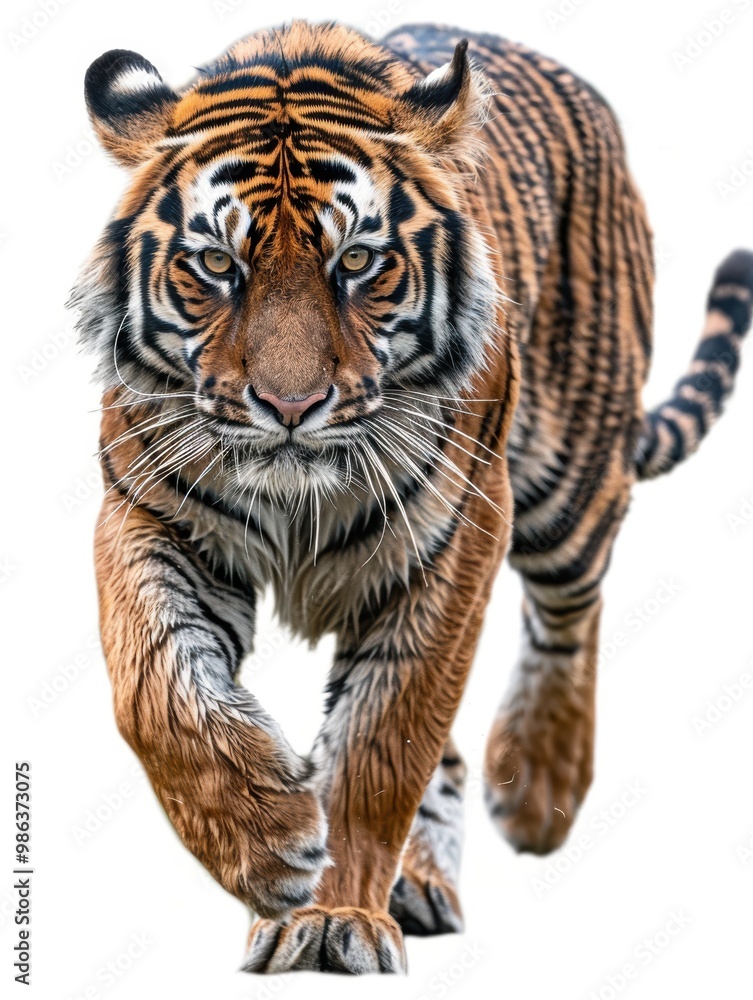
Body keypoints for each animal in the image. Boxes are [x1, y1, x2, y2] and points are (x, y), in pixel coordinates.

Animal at [72, 20, 753, 974]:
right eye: (216, 264)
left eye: (357, 260)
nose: (289, 407)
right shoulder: (147, 515)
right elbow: (155, 691)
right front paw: (272, 847)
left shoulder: (454, 535)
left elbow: (383, 739)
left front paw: (335, 917)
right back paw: (424, 877)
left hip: (568, 475)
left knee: (569, 609)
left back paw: (537, 785)